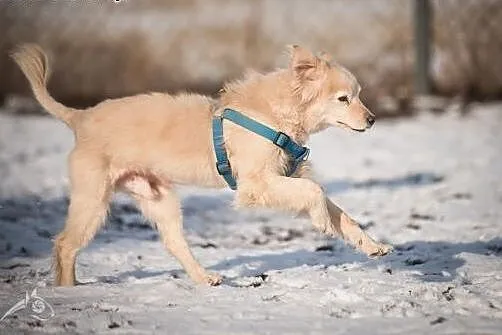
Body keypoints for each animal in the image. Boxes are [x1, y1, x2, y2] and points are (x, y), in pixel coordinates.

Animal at [9, 44, 390, 286]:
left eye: (357, 95)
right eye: (344, 99)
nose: (372, 120)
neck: (275, 115)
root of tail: (80, 117)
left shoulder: (282, 178)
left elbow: (340, 211)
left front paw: (371, 245)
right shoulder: (256, 185)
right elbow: (315, 191)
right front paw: (322, 221)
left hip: (158, 198)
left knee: (173, 243)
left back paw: (204, 278)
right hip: (93, 199)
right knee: (64, 244)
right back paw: (66, 292)